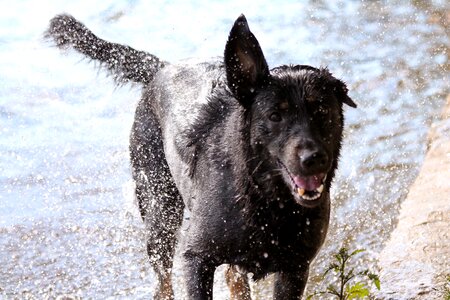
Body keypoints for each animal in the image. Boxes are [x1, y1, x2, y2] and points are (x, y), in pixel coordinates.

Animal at [44, 14, 356, 300]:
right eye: (275, 116)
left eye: (322, 111)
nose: (313, 158)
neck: (264, 197)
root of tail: (162, 68)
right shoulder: (196, 258)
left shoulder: (296, 267)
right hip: (159, 211)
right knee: (163, 284)